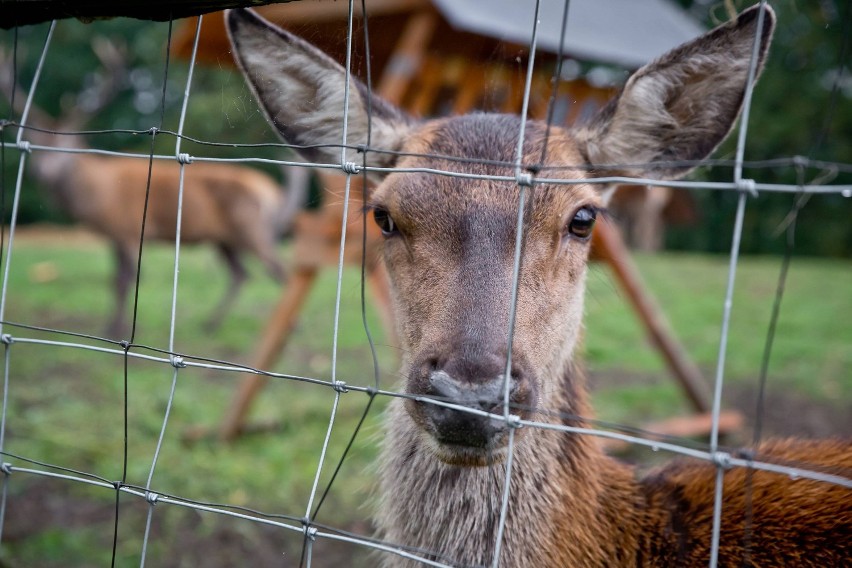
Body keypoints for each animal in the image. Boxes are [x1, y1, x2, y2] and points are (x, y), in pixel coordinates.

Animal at [2, 37, 296, 336]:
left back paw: (287, 327)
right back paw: (212, 323)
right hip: (224, 238)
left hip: (251, 228)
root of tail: (270, 191)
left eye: (66, 145)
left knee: (280, 270)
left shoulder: (129, 228)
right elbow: (114, 279)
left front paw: (120, 329)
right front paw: (110, 326)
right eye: (39, 145)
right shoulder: (114, 234)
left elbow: (126, 279)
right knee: (242, 273)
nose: (41, 173)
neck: (98, 194)